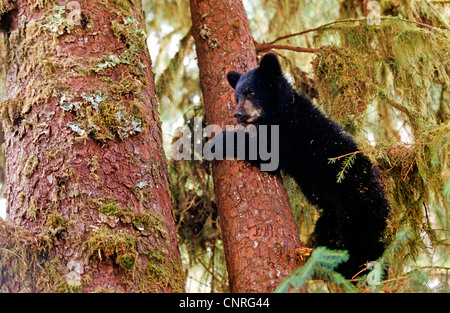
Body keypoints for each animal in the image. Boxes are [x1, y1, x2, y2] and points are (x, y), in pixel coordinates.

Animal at [213, 51, 388, 278]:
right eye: (237, 97)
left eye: (251, 92)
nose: (238, 114)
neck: (281, 110)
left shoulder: (291, 132)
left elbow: (265, 151)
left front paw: (211, 142)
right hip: (331, 214)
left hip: (356, 199)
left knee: (362, 238)